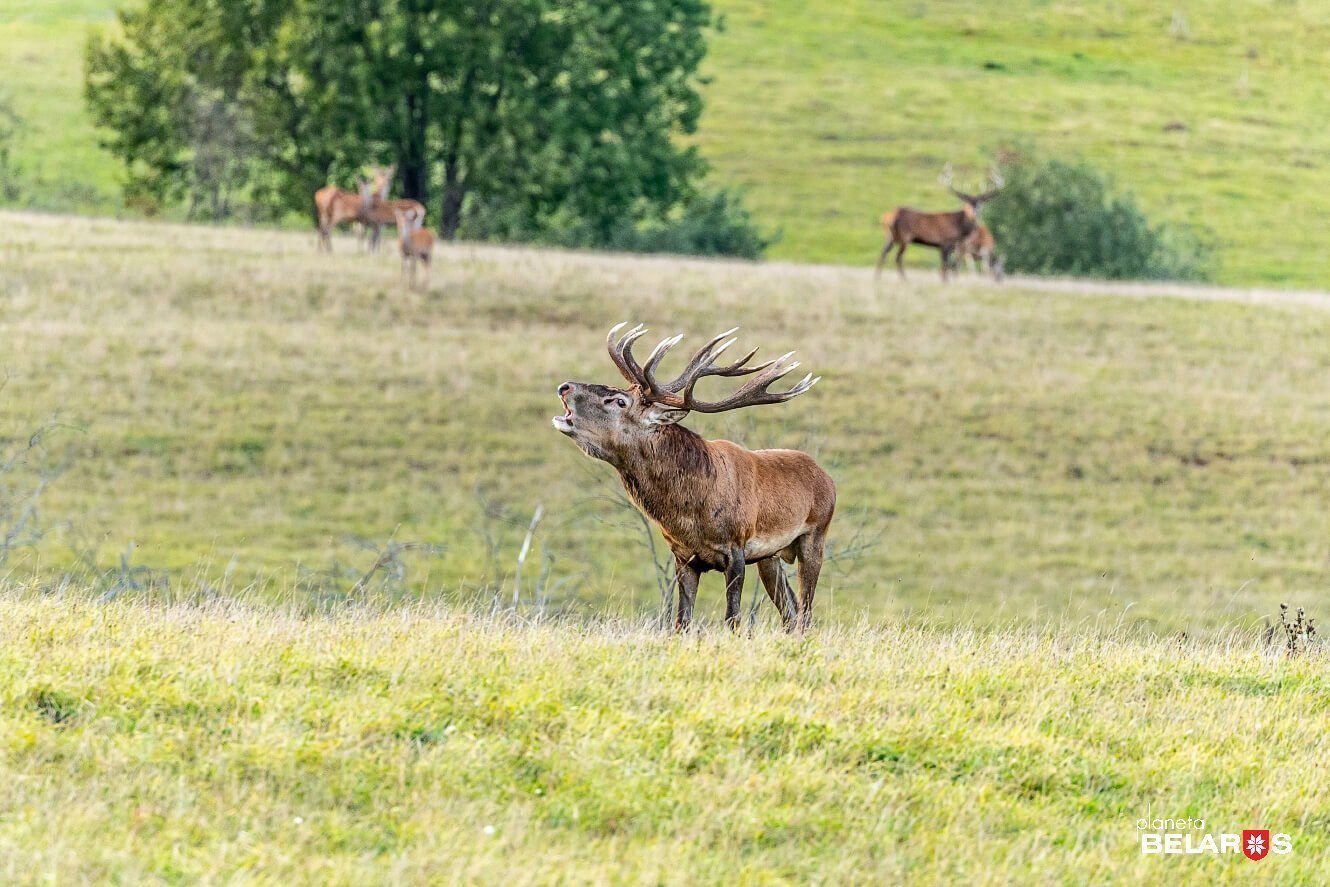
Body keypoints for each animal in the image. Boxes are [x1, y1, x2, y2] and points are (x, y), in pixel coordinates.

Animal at [555, 324, 835, 630]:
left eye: (619, 401)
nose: (564, 386)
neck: (689, 513)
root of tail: (827, 477)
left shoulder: (736, 548)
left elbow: (733, 618)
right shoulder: (684, 556)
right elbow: (682, 621)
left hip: (815, 536)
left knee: (805, 612)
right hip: (770, 557)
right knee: (791, 611)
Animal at [872, 164, 1000, 279]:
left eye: (981, 203)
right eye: (966, 203)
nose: (974, 211)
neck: (958, 230)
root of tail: (885, 217)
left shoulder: (949, 246)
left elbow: (945, 267)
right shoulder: (945, 242)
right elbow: (945, 268)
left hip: (890, 236)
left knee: (883, 253)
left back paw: (877, 278)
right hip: (905, 236)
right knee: (898, 258)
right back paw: (905, 280)